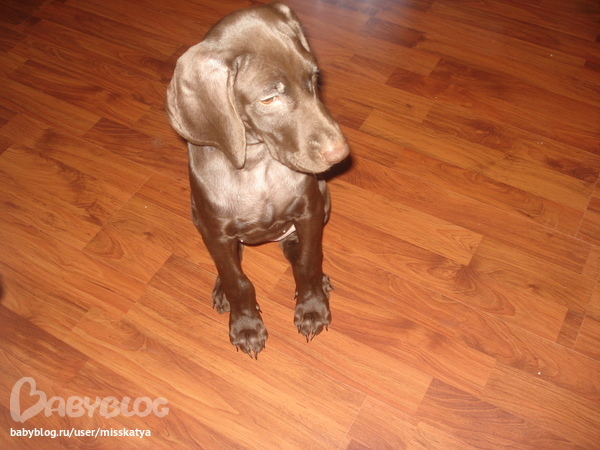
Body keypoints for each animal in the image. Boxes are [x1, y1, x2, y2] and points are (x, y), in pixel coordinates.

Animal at [166, 2, 349, 358]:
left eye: (314, 78)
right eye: (268, 99)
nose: (340, 154)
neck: (258, 163)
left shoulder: (309, 210)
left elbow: (309, 261)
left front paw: (312, 307)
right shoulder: (216, 231)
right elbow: (237, 281)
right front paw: (246, 325)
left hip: (324, 199)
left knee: (298, 251)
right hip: (199, 217)